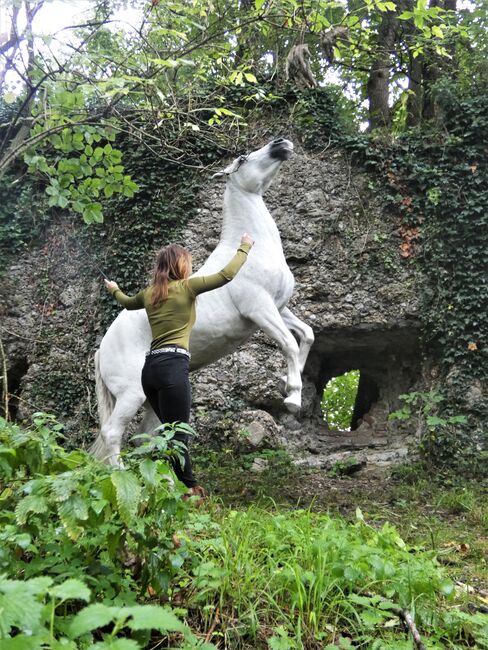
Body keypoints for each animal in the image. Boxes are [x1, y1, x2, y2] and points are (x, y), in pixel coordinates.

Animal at [91, 138, 312, 460]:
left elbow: (306, 335)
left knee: (146, 436)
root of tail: (101, 350)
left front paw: (289, 382)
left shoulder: (279, 307)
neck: (251, 252)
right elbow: (288, 343)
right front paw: (293, 397)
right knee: (113, 434)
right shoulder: (260, 310)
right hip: (131, 394)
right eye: (243, 158)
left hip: (151, 398)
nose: (280, 144)